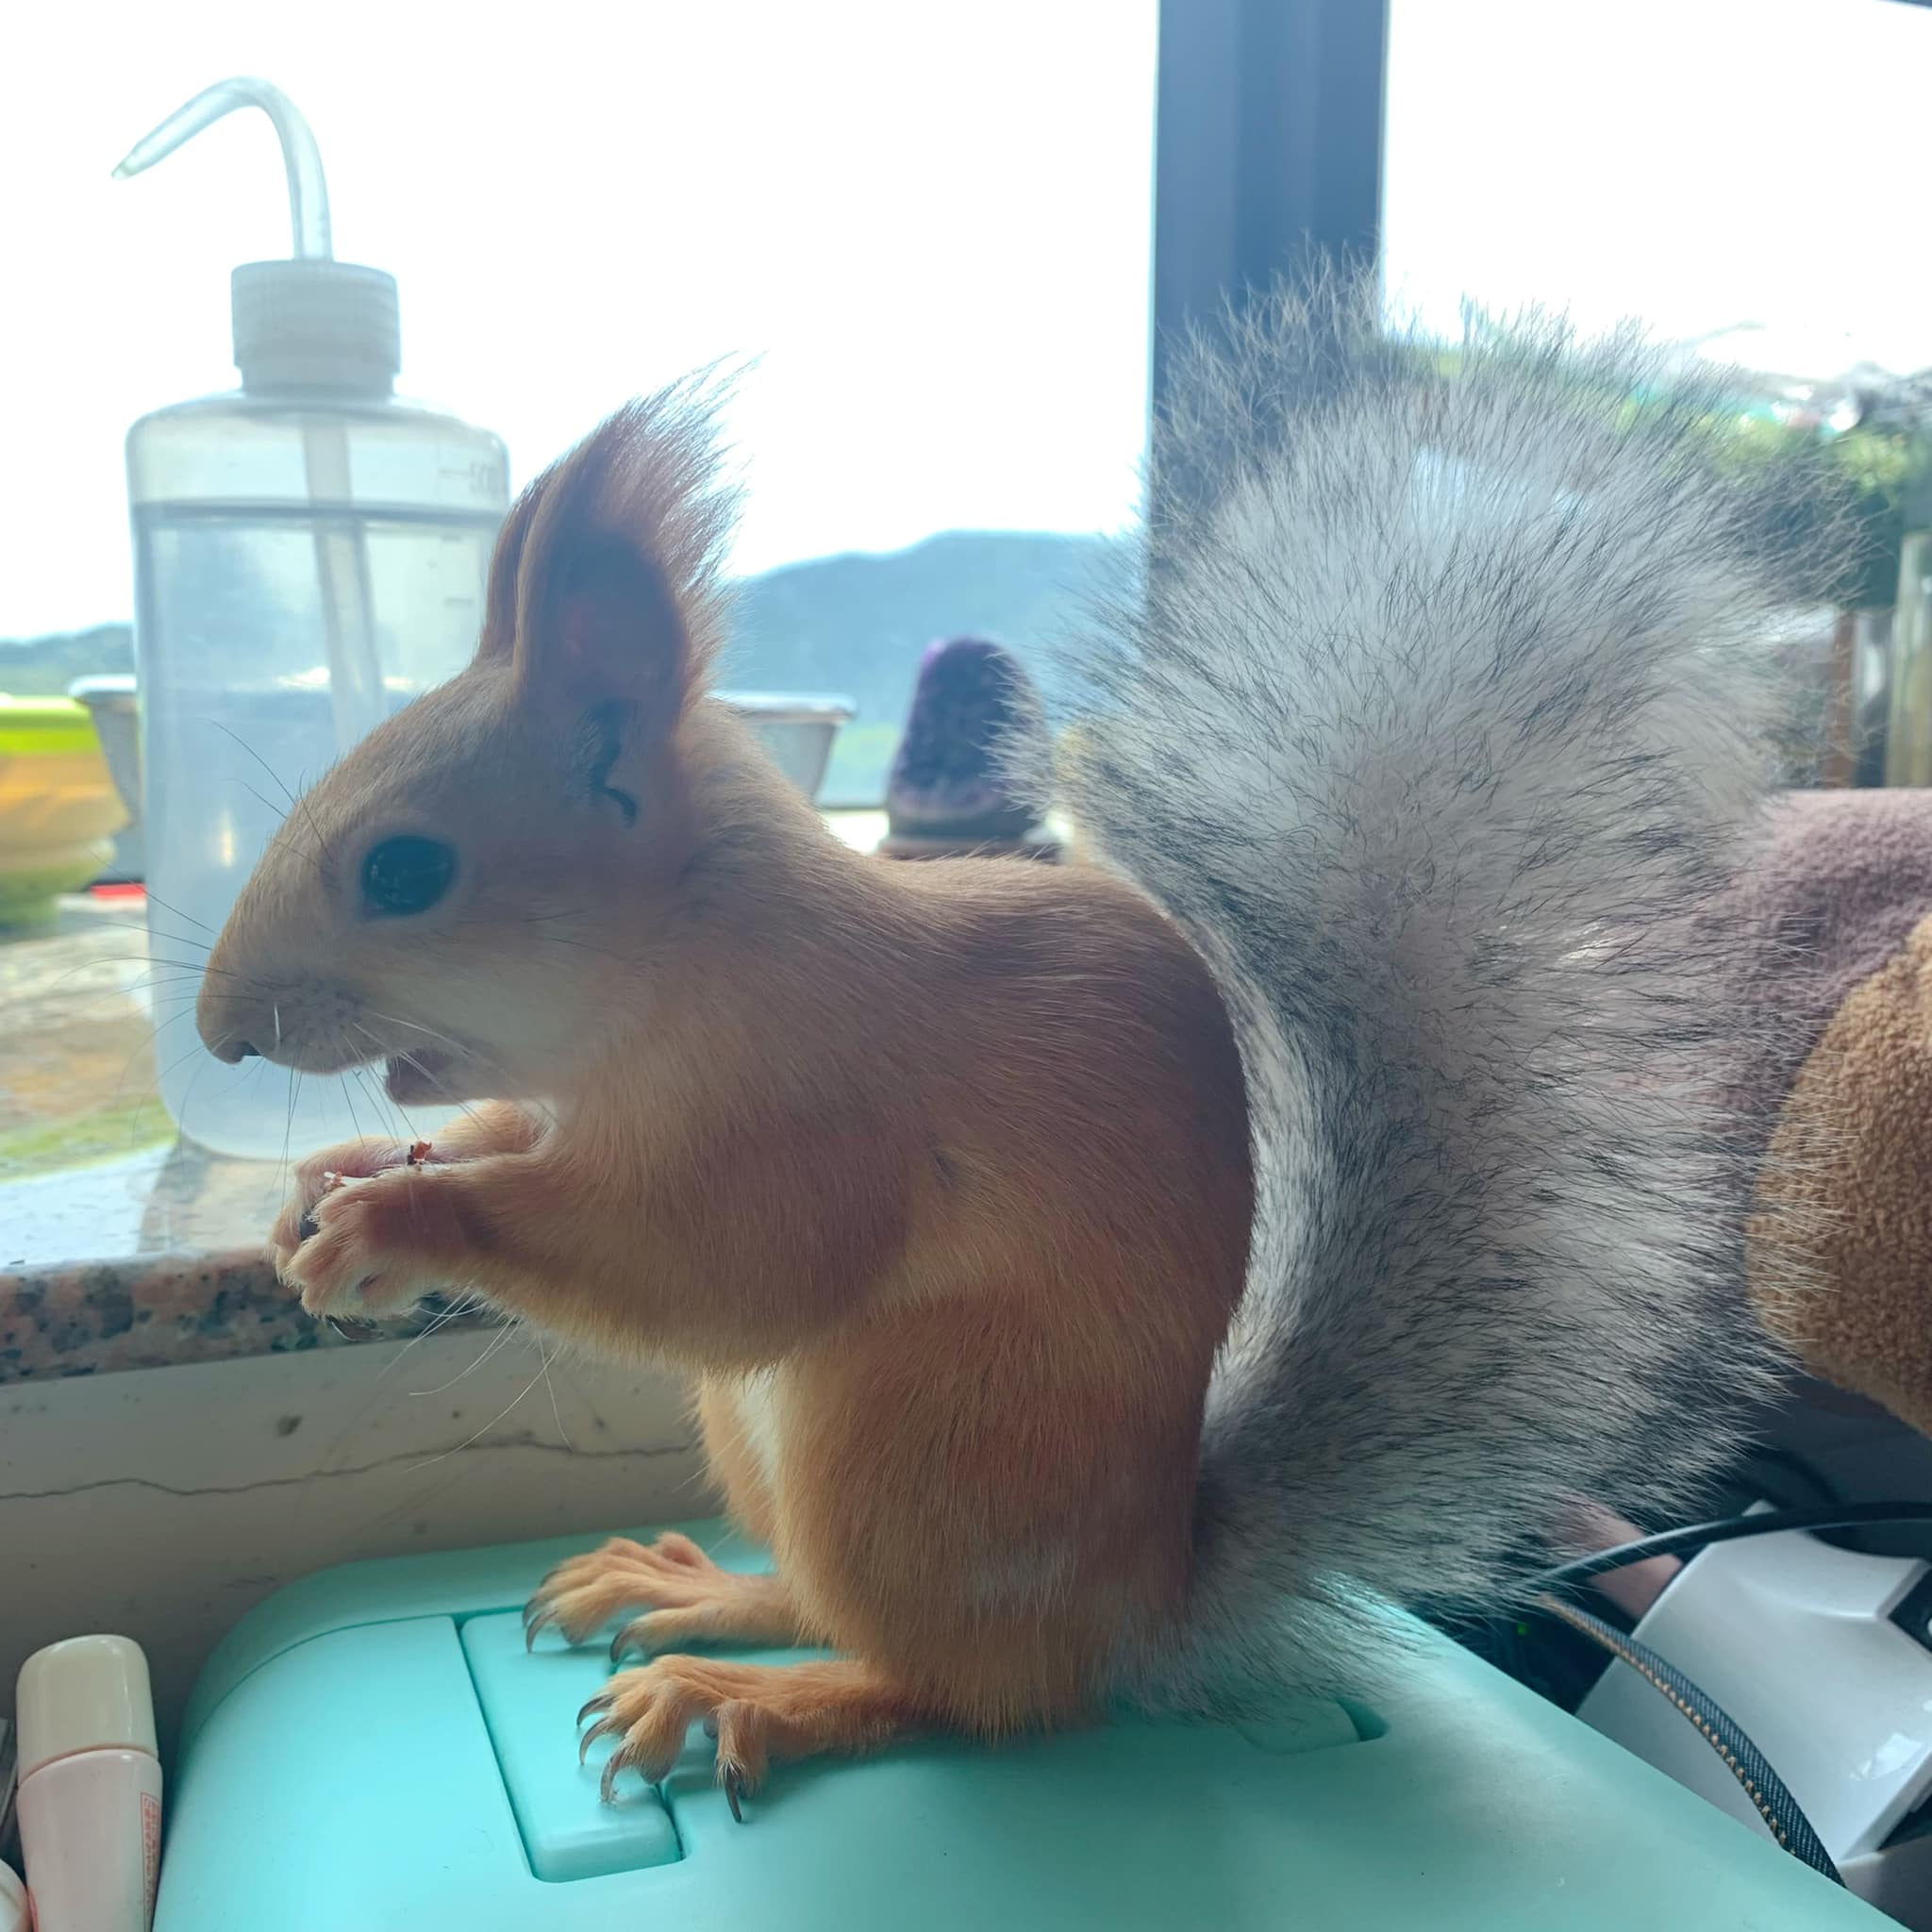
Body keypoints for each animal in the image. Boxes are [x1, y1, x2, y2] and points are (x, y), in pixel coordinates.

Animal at [196, 283, 1814, 1809]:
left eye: (406, 870)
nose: (217, 1031)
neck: (685, 969)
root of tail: (1140, 1603)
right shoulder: (573, 1105)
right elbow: (507, 1139)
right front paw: (332, 1179)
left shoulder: (832, 1108)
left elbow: (723, 1269)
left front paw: (402, 1224)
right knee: (849, 1611)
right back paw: (704, 1593)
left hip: (906, 1448)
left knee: (969, 1695)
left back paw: (754, 1698)